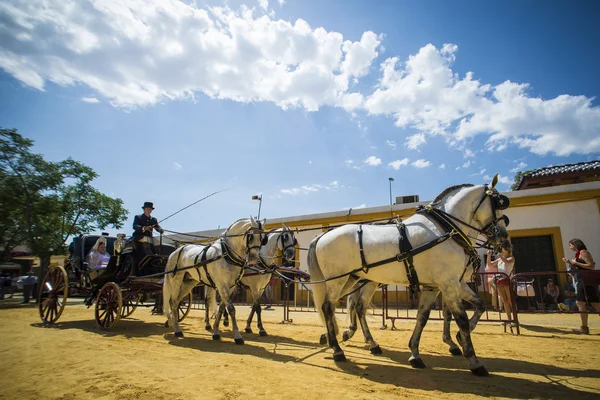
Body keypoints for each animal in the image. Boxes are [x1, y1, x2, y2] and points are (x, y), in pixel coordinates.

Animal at [310, 175, 510, 376]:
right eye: (498, 203)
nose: (504, 239)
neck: (444, 230)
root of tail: (323, 236)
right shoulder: (449, 282)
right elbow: (460, 318)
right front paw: (474, 360)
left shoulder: (443, 284)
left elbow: (429, 315)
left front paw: (417, 352)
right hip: (339, 279)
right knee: (328, 306)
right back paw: (337, 349)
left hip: (352, 279)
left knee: (349, 306)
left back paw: (353, 340)